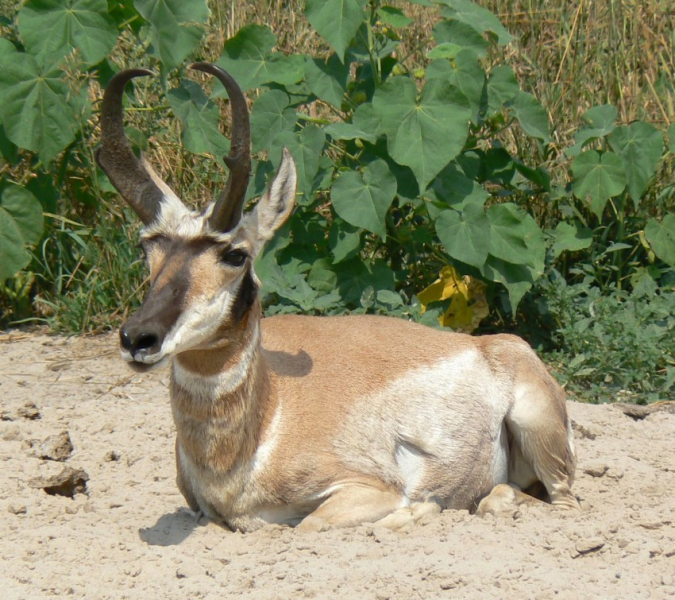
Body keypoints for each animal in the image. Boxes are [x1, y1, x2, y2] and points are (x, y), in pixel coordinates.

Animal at [95, 63, 580, 532]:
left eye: (235, 254)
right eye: (148, 247)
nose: (138, 338)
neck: (269, 412)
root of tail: (495, 344)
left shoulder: (366, 488)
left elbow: (309, 526)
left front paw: (416, 510)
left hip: (537, 431)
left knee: (553, 502)